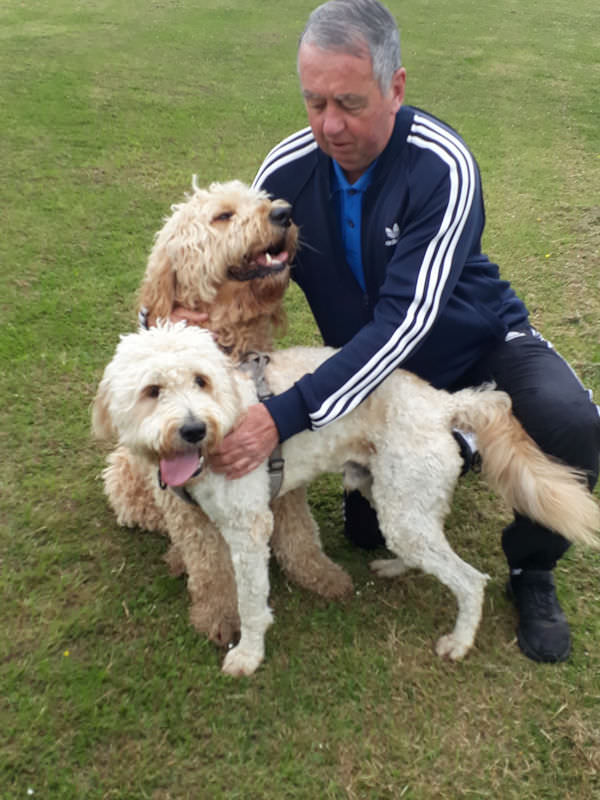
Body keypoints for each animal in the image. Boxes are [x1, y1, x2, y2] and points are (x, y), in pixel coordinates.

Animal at [94, 322, 600, 680]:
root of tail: (443, 403)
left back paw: (458, 642)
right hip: (392, 497)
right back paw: (396, 567)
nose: (193, 429)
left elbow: (253, 602)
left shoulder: (248, 531)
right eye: (152, 391)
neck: (226, 421)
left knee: (471, 581)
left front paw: (248, 655)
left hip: (402, 509)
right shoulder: (204, 521)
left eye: (201, 381)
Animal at [99, 180, 352, 644]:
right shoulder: (182, 499)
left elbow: (300, 530)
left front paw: (319, 574)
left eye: (263, 199)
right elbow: (208, 561)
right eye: (223, 216)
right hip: (126, 471)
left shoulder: (275, 455)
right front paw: (218, 613)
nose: (284, 213)